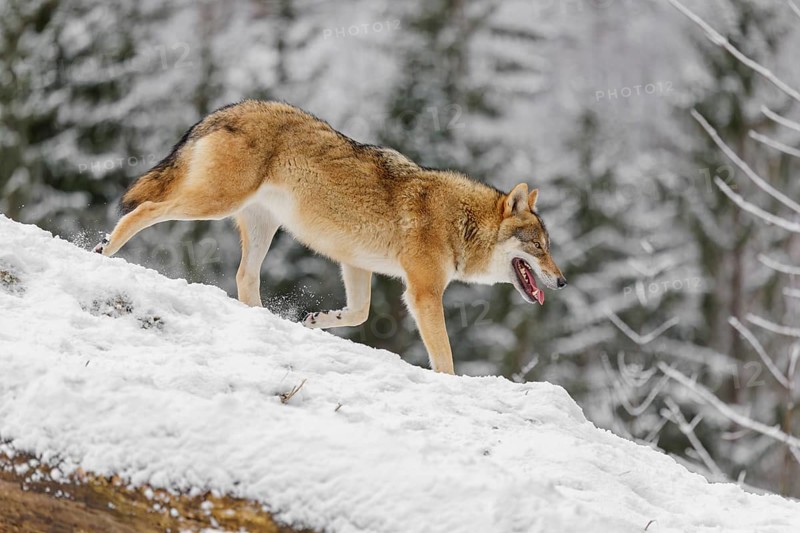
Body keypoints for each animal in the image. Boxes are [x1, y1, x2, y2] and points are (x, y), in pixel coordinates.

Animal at [95, 100, 567, 374]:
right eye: (538, 247)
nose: (562, 282)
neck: (460, 220)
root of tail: (231, 108)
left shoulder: (355, 264)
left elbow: (357, 314)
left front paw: (317, 320)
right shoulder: (423, 293)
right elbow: (444, 357)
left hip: (259, 227)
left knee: (245, 277)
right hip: (215, 202)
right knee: (144, 211)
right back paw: (104, 250)